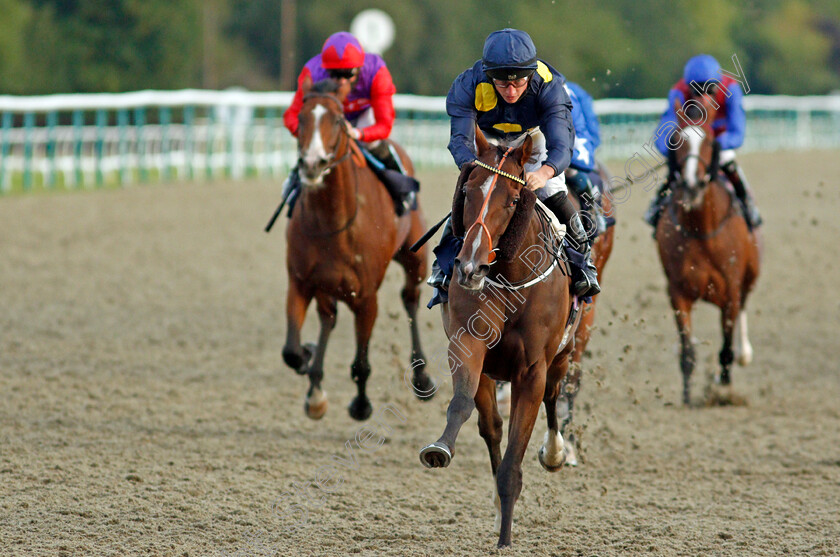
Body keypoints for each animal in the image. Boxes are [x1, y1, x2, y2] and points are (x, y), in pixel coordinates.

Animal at [286, 80, 436, 420]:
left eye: (337, 121)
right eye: (300, 117)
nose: (312, 164)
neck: (332, 221)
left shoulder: (366, 296)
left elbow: (361, 363)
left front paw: (361, 404)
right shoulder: (300, 281)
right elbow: (291, 352)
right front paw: (308, 364)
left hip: (415, 258)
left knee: (410, 298)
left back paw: (421, 376)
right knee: (328, 318)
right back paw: (315, 384)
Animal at [420, 127, 584, 548]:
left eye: (512, 200)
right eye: (468, 191)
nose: (471, 267)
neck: (511, 278)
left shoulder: (532, 369)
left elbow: (515, 455)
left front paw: (506, 539)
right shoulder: (468, 345)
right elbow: (464, 406)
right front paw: (440, 448)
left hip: (563, 353)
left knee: (553, 398)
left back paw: (555, 452)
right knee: (492, 426)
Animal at [656, 97, 760, 404]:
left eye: (709, 141)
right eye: (675, 139)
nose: (691, 185)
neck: (701, 230)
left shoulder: (731, 293)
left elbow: (726, 349)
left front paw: (723, 388)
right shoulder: (678, 293)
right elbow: (687, 350)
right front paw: (687, 397)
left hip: (749, 278)